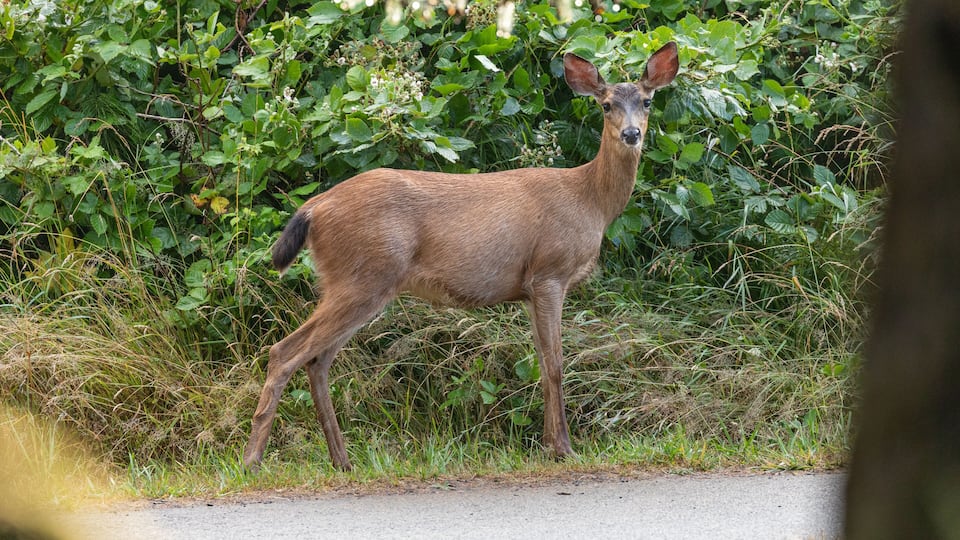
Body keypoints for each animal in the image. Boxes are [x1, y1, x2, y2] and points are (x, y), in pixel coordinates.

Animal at [243, 42, 680, 471]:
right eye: (605, 105)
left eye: (646, 101)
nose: (630, 134)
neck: (590, 199)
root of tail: (313, 209)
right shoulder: (549, 273)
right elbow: (555, 365)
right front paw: (563, 448)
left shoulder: (529, 289)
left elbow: (542, 364)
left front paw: (546, 445)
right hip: (363, 276)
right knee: (285, 352)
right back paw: (253, 461)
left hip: (355, 282)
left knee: (317, 360)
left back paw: (342, 460)